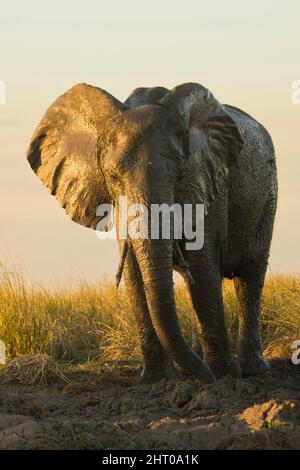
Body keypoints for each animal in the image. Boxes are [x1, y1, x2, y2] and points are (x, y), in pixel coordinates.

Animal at [27, 82, 278, 386]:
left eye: (179, 174)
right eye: (113, 178)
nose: (203, 378)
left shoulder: (207, 185)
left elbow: (202, 265)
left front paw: (222, 375)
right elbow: (135, 271)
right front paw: (156, 380)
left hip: (268, 197)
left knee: (249, 277)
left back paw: (252, 369)